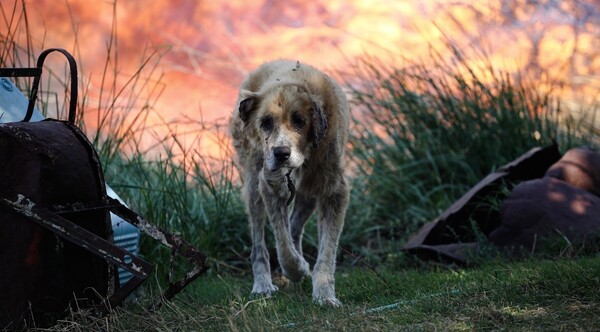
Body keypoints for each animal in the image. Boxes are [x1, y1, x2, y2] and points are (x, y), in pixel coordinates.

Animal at [230, 60, 352, 306]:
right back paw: (263, 284)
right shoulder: (269, 186)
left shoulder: (334, 192)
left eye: (300, 121)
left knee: (294, 226)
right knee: (260, 245)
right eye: (265, 122)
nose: (281, 153)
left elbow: (327, 251)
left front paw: (324, 294)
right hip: (253, 187)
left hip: (308, 195)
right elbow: (283, 245)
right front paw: (297, 269)